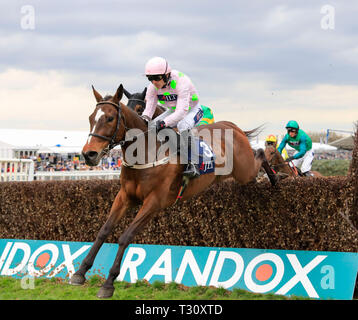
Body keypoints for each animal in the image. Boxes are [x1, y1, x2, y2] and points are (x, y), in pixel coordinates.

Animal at [69, 84, 276, 298]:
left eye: (110, 118)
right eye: (91, 118)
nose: (88, 154)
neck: (146, 153)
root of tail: (232, 126)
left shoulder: (154, 202)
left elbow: (125, 237)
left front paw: (109, 283)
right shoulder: (125, 196)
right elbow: (103, 231)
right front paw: (80, 272)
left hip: (244, 170)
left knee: (260, 154)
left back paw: (275, 177)